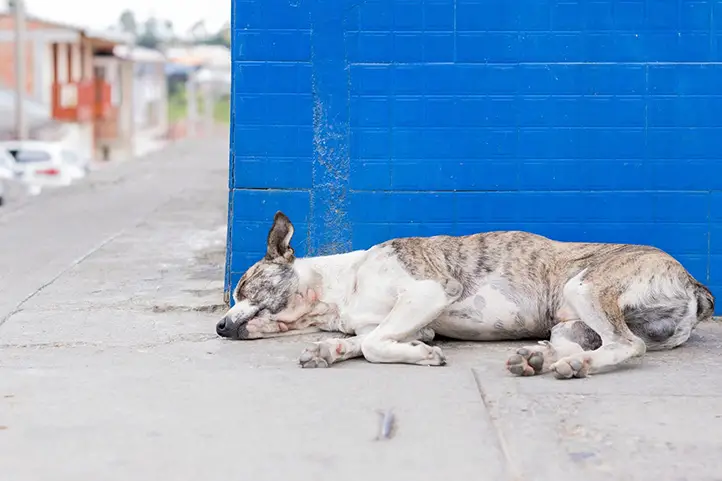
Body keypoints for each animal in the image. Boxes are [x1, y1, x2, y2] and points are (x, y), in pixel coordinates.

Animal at [217, 211, 712, 378]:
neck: (342, 288)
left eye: (242, 289)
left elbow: (375, 345)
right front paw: (331, 348)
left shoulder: (428, 290)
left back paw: (575, 367)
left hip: (587, 285)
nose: (219, 326)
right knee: (598, 343)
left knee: (628, 345)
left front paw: (418, 357)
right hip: (570, 326)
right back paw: (539, 360)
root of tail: (695, 284)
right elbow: (368, 339)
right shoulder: (412, 321)